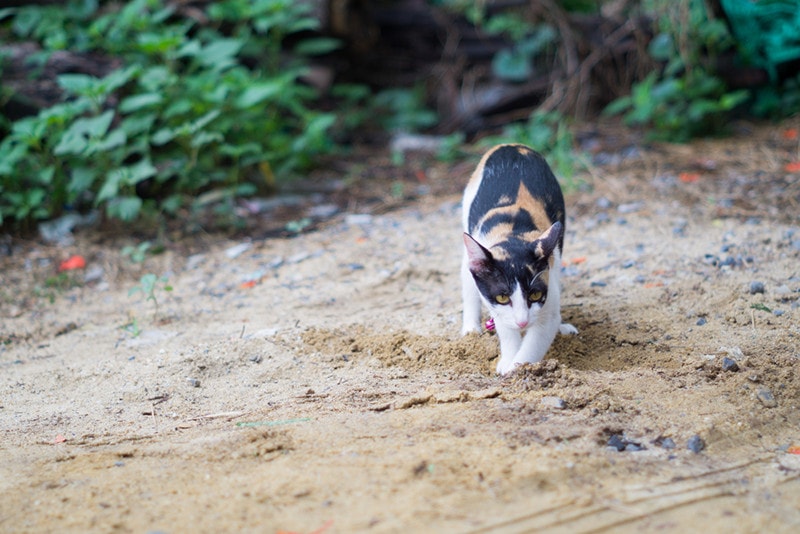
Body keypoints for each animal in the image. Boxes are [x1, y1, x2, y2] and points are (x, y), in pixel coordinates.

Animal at [460, 144, 580, 374]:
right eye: (502, 297)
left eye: (535, 295)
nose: (523, 323)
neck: (513, 234)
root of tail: (512, 145)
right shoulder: (499, 309)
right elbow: (506, 328)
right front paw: (507, 361)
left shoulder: (548, 284)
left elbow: (536, 340)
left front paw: (517, 368)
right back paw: (470, 330)